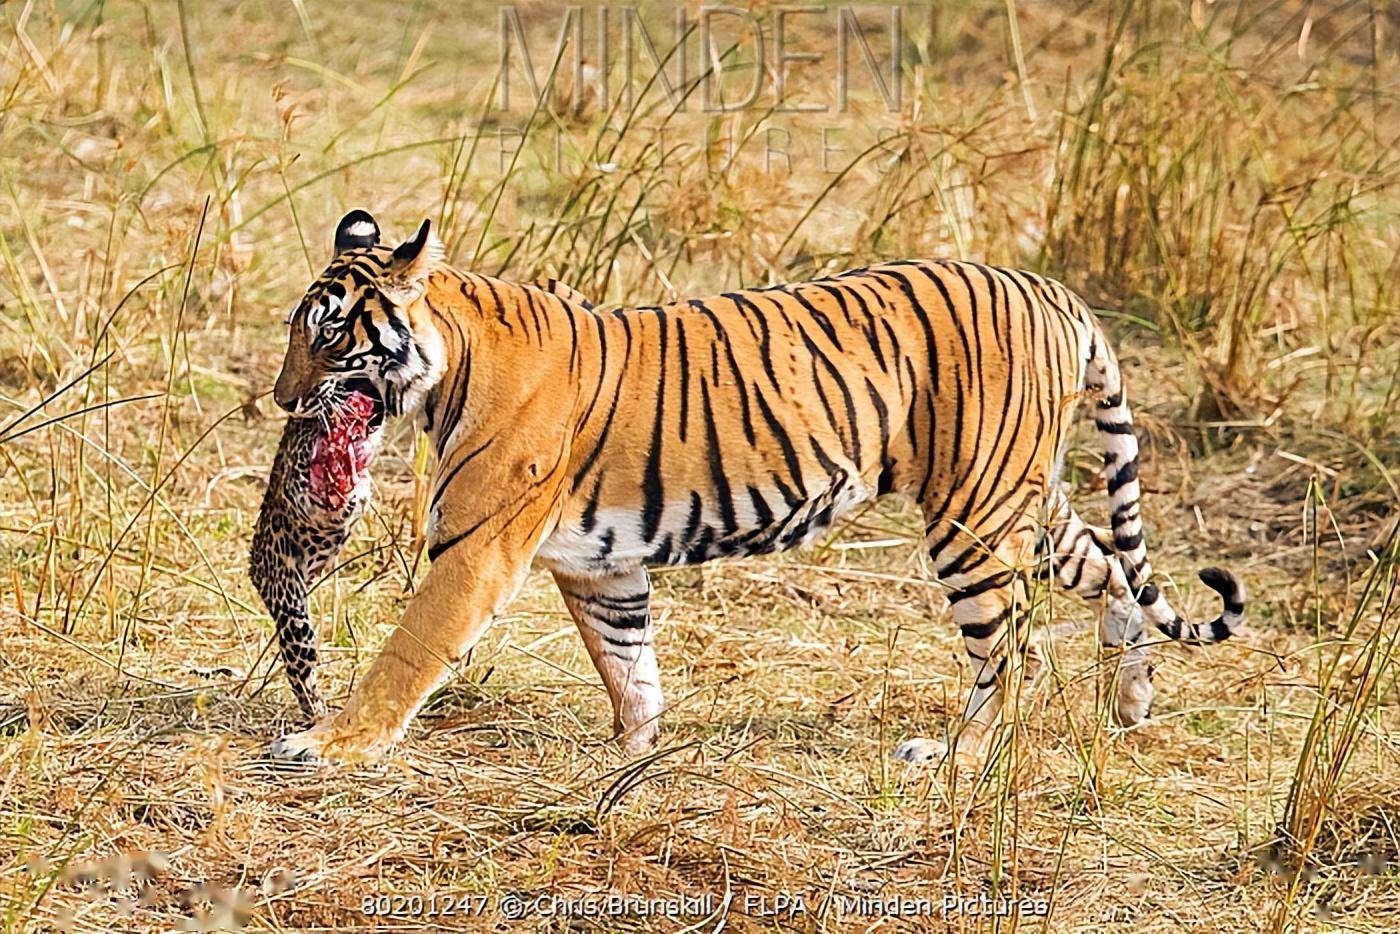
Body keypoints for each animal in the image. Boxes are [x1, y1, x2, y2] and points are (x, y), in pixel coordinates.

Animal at [264, 210, 1248, 767]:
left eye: (328, 334)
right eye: (294, 331)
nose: (279, 400)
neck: (449, 362)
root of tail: (1052, 289)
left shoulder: (477, 549)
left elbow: (409, 650)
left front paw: (331, 744)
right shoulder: (597, 564)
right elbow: (629, 665)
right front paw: (633, 755)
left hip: (972, 516)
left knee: (1015, 653)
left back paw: (956, 757)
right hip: (1018, 498)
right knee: (1113, 573)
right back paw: (1130, 705)